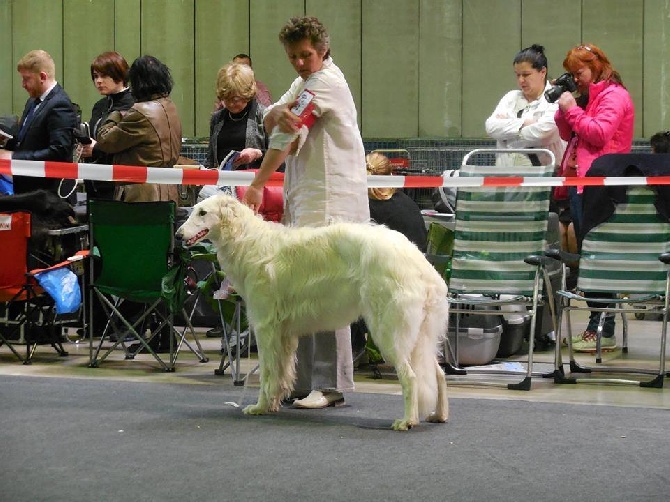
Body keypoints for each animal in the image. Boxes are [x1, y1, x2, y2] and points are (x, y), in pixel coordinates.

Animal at [177, 194, 452, 430]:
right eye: (193, 211)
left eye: (203, 212)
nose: (178, 235)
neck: (249, 241)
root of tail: (422, 266)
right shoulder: (285, 335)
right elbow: (281, 374)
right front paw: (273, 404)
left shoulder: (266, 327)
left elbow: (267, 373)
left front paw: (259, 406)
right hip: (421, 337)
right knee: (437, 374)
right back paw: (439, 415)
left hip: (389, 333)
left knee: (411, 377)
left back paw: (407, 421)